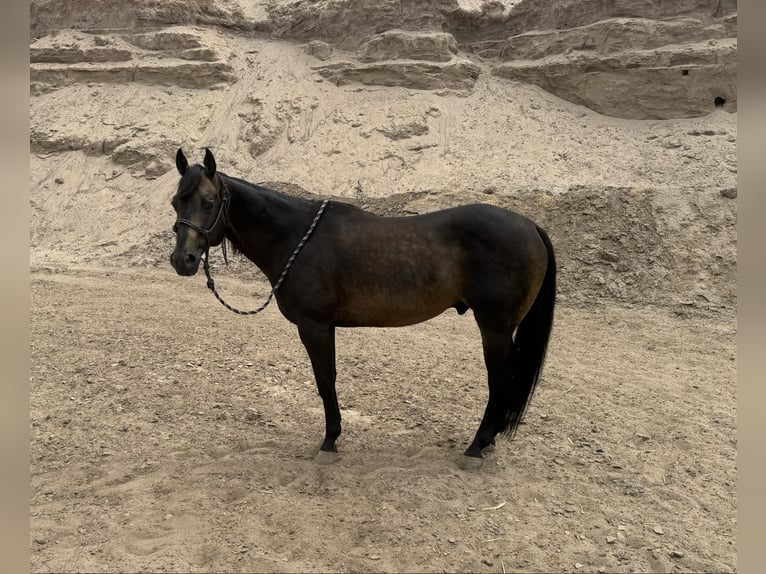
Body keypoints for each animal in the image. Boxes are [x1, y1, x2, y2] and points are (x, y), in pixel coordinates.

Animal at [170, 148, 556, 470]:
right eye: (176, 202)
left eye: (208, 202)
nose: (182, 260)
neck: (295, 235)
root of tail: (530, 226)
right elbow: (328, 379)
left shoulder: (314, 325)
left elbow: (325, 380)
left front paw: (329, 442)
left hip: (495, 328)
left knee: (500, 382)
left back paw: (477, 447)